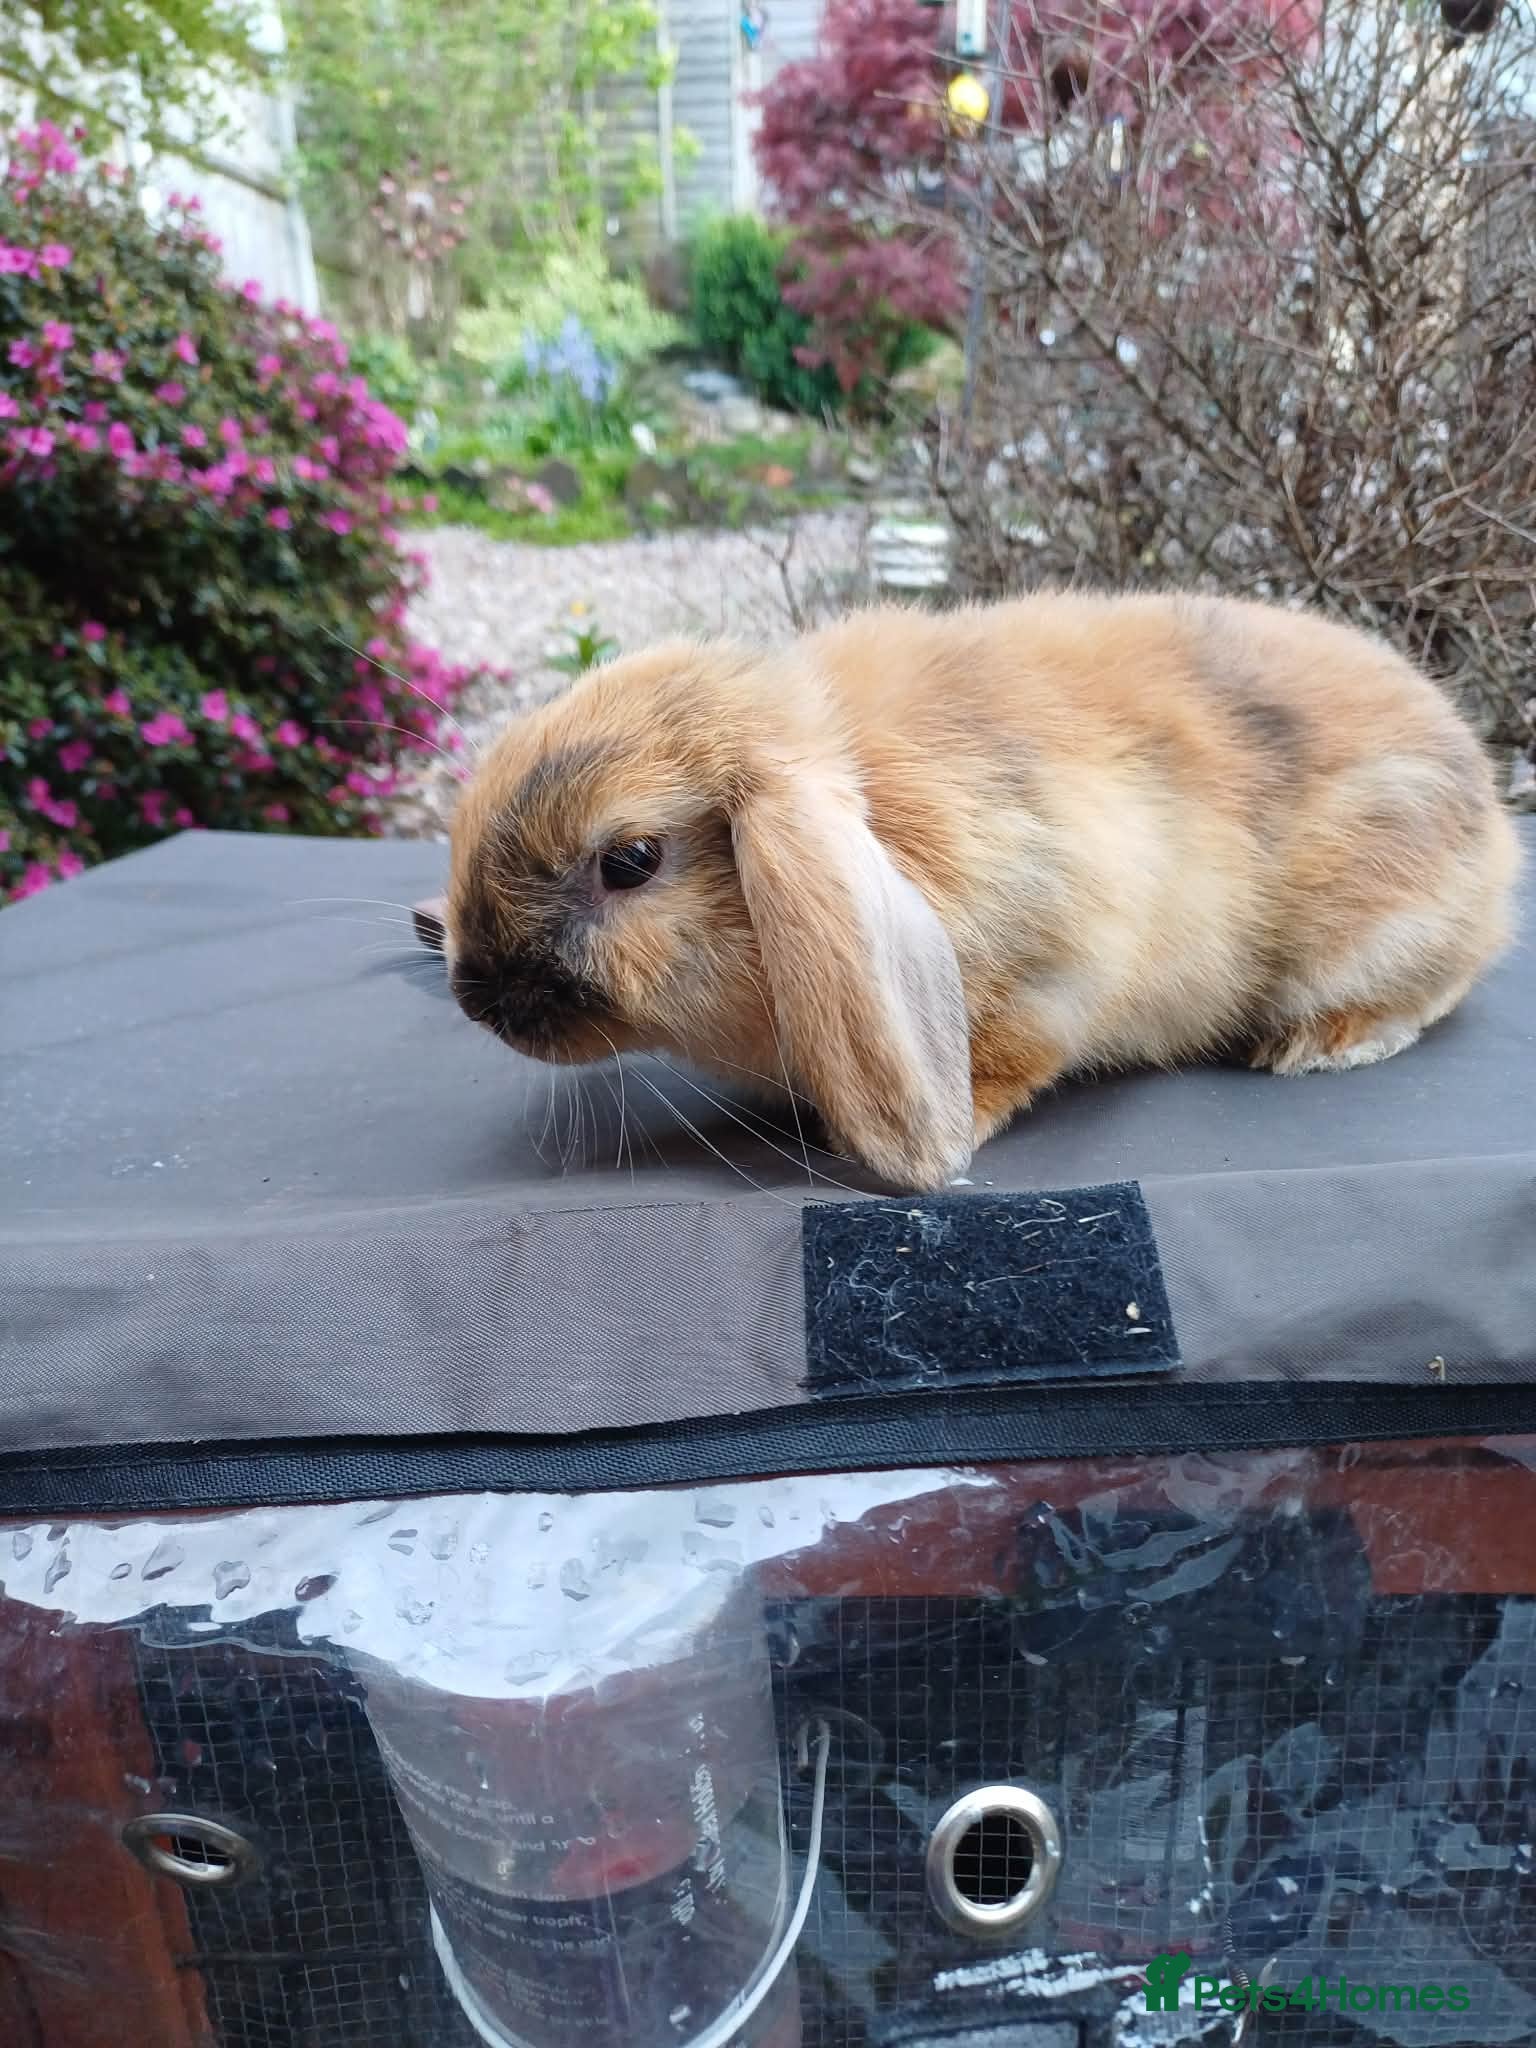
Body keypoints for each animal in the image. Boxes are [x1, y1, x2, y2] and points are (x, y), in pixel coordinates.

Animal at [442, 593, 1521, 1191]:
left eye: (630, 859)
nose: (477, 998)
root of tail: (1500, 836)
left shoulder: (1052, 966)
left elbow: (1018, 1053)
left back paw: (1320, 1043)